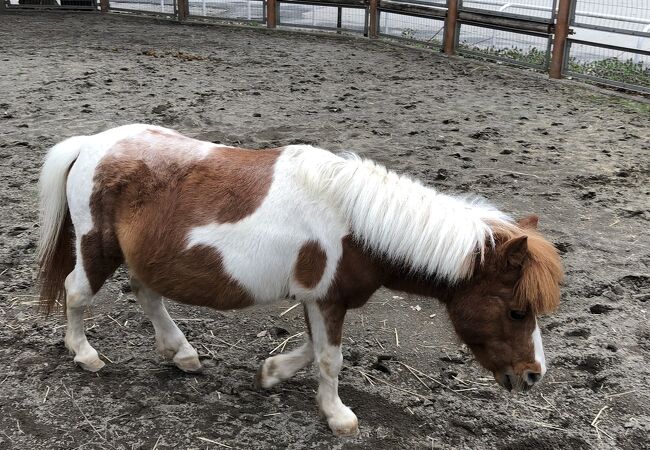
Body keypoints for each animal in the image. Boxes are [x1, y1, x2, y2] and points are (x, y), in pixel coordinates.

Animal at [36, 123, 560, 436]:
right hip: (96, 248)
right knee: (77, 294)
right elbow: (330, 358)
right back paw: (85, 354)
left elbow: (313, 348)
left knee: (147, 295)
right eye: (518, 311)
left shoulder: (317, 298)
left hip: (143, 257)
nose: (533, 376)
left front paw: (272, 373)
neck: (357, 224)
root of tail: (91, 144)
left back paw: (181, 354)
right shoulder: (328, 299)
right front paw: (338, 415)